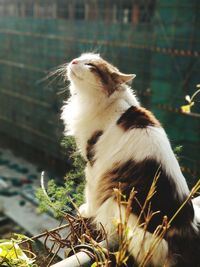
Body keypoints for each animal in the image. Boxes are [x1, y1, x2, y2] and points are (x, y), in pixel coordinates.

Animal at [61, 52, 200, 267]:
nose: (73, 61)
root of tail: (186, 229)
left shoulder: (94, 164)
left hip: (119, 207)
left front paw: (86, 211)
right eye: (81, 58)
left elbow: (90, 193)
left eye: (91, 65)